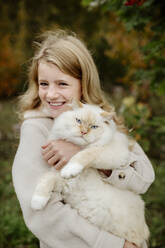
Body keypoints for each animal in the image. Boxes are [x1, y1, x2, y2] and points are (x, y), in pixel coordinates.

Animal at [31, 101, 150, 247]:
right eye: (78, 121)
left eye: (94, 127)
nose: (83, 132)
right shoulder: (63, 183)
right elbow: (46, 180)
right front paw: (37, 202)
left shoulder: (110, 152)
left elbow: (84, 154)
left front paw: (71, 169)